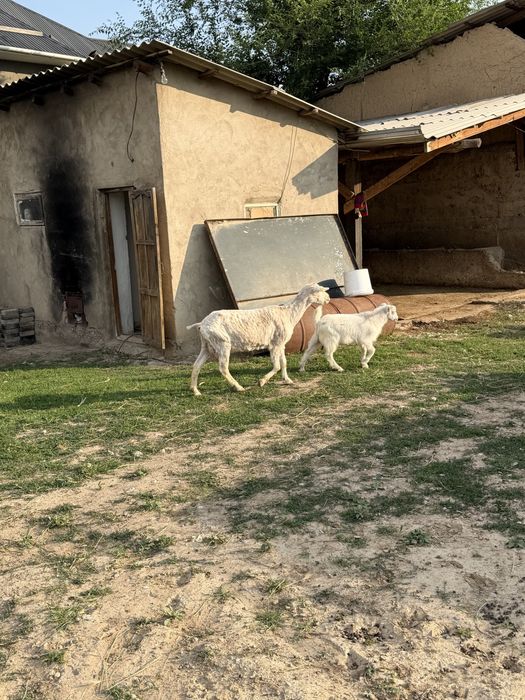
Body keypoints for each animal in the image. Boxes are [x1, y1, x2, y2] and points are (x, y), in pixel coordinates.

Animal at [187, 283, 330, 395]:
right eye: (321, 291)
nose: (329, 299)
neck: (289, 314)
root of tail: (202, 324)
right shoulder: (275, 344)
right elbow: (277, 365)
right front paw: (261, 381)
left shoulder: (281, 343)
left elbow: (284, 362)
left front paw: (287, 380)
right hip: (222, 343)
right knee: (223, 368)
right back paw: (238, 387)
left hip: (207, 346)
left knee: (196, 365)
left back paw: (195, 391)